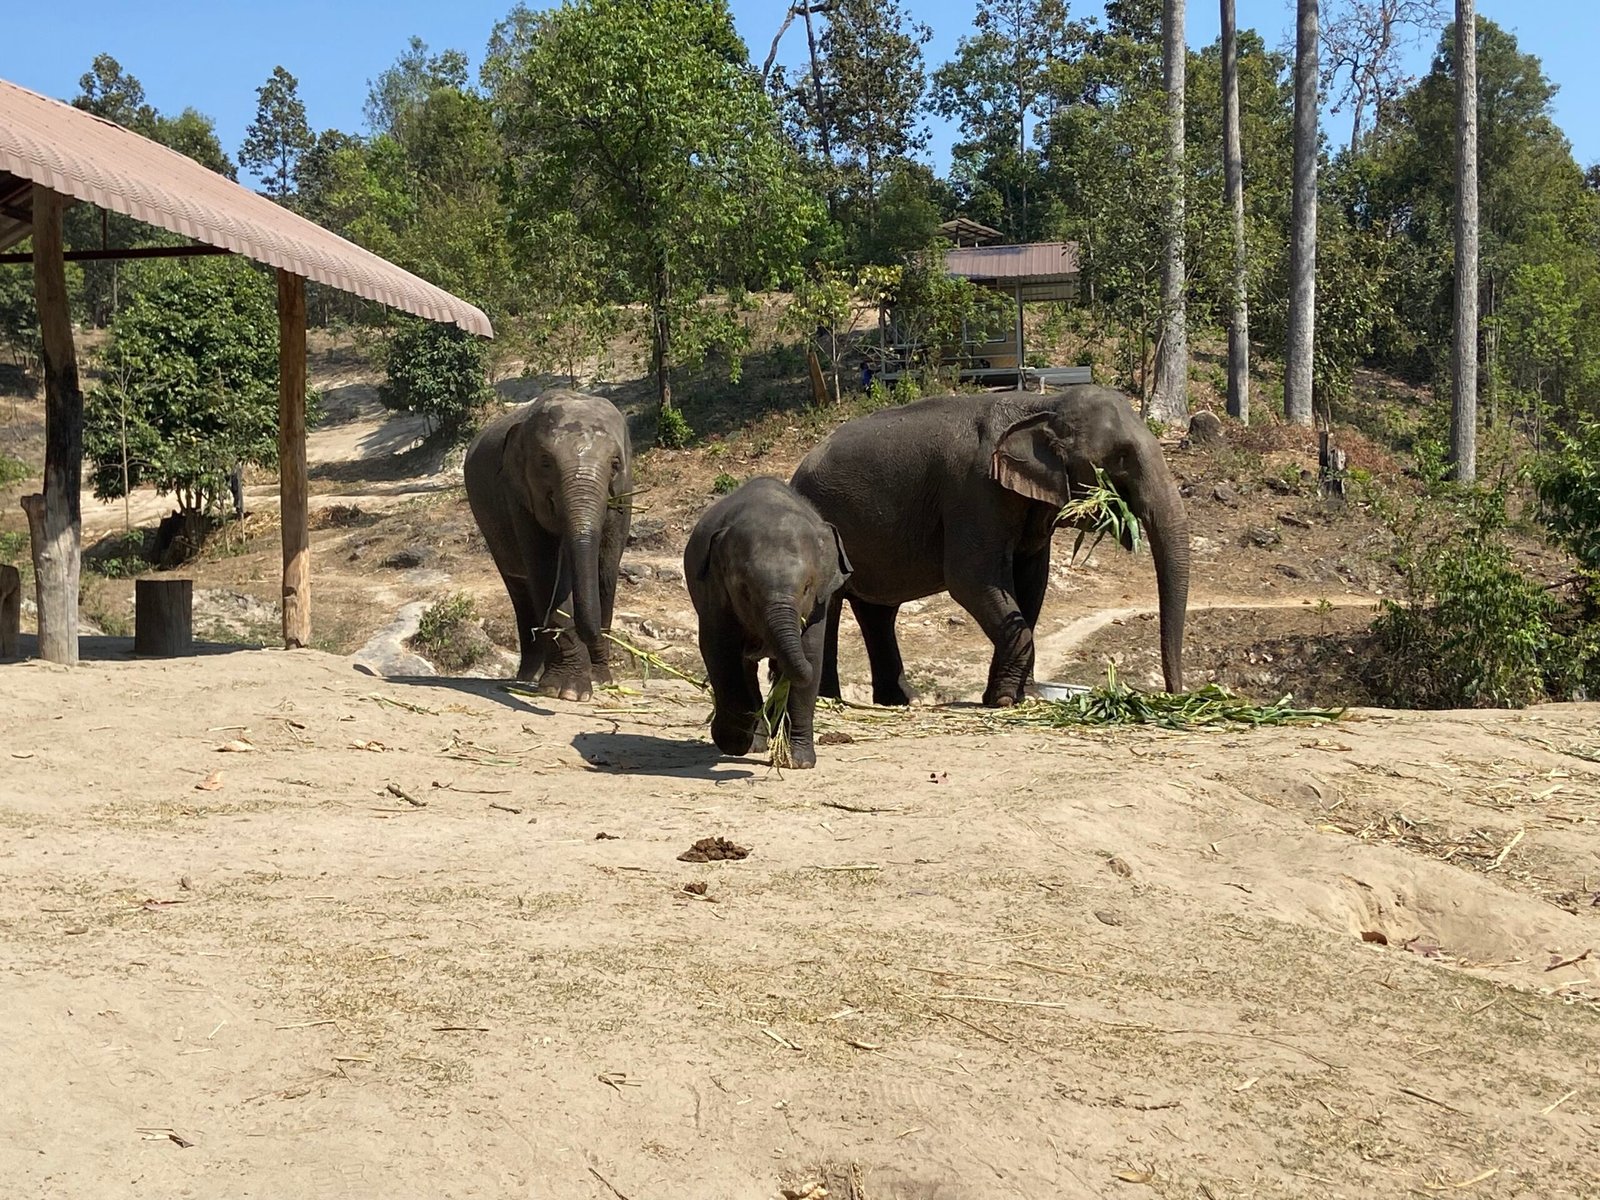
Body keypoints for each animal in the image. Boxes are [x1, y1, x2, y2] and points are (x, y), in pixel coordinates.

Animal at [463, 389, 632, 701]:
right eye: (545, 462)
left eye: (615, 465)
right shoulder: (518, 495)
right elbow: (546, 567)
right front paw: (567, 691)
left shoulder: (624, 495)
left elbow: (604, 568)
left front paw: (599, 679)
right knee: (520, 589)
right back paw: (526, 677)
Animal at [684, 476, 853, 769]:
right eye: (745, 590)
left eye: (807, 587)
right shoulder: (715, 594)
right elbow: (719, 653)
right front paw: (732, 741)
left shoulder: (820, 603)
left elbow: (812, 653)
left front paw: (798, 762)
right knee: (744, 667)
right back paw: (753, 743)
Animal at [790, 385, 1190, 708]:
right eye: (1122, 456)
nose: (1176, 695)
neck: (1043, 404)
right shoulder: (974, 491)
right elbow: (972, 580)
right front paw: (1005, 699)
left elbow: (1030, 585)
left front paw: (1016, 697)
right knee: (831, 605)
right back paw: (829, 699)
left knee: (878, 611)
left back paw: (901, 701)